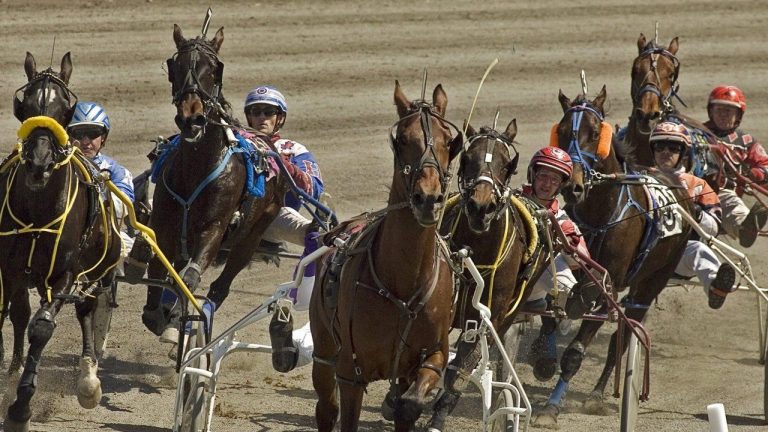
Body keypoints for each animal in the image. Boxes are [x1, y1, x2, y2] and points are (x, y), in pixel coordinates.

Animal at [0, 53, 121, 432]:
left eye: (64, 109)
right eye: (24, 106)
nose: (39, 162)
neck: (40, 206)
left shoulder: (65, 274)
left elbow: (42, 328)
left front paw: (20, 408)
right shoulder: (9, 268)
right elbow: (13, 314)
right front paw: (12, 377)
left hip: (96, 269)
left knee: (86, 310)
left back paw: (88, 379)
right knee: (21, 313)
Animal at [139, 23, 288, 338]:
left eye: (214, 68)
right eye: (176, 67)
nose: (191, 118)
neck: (197, 166)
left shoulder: (214, 228)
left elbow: (189, 278)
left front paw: (178, 317)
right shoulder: (164, 225)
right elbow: (160, 270)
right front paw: (158, 314)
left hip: (252, 233)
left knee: (221, 285)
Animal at [308, 82, 462, 432]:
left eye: (449, 141)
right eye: (403, 139)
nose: (428, 199)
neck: (403, 282)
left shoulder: (431, 357)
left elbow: (411, 402)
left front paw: (401, 405)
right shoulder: (351, 373)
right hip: (324, 350)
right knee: (327, 408)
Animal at [426, 119, 544, 432]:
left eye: (506, 164)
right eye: (467, 158)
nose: (481, 207)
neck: (478, 248)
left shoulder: (491, 316)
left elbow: (462, 369)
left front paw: (437, 414)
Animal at [532, 87, 692, 426]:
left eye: (595, 133)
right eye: (561, 131)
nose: (572, 185)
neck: (600, 213)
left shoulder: (609, 287)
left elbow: (576, 351)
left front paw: (551, 408)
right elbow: (551, 307)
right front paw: (543, 357)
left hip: (651, 284)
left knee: (623, 335)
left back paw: (596, 394)